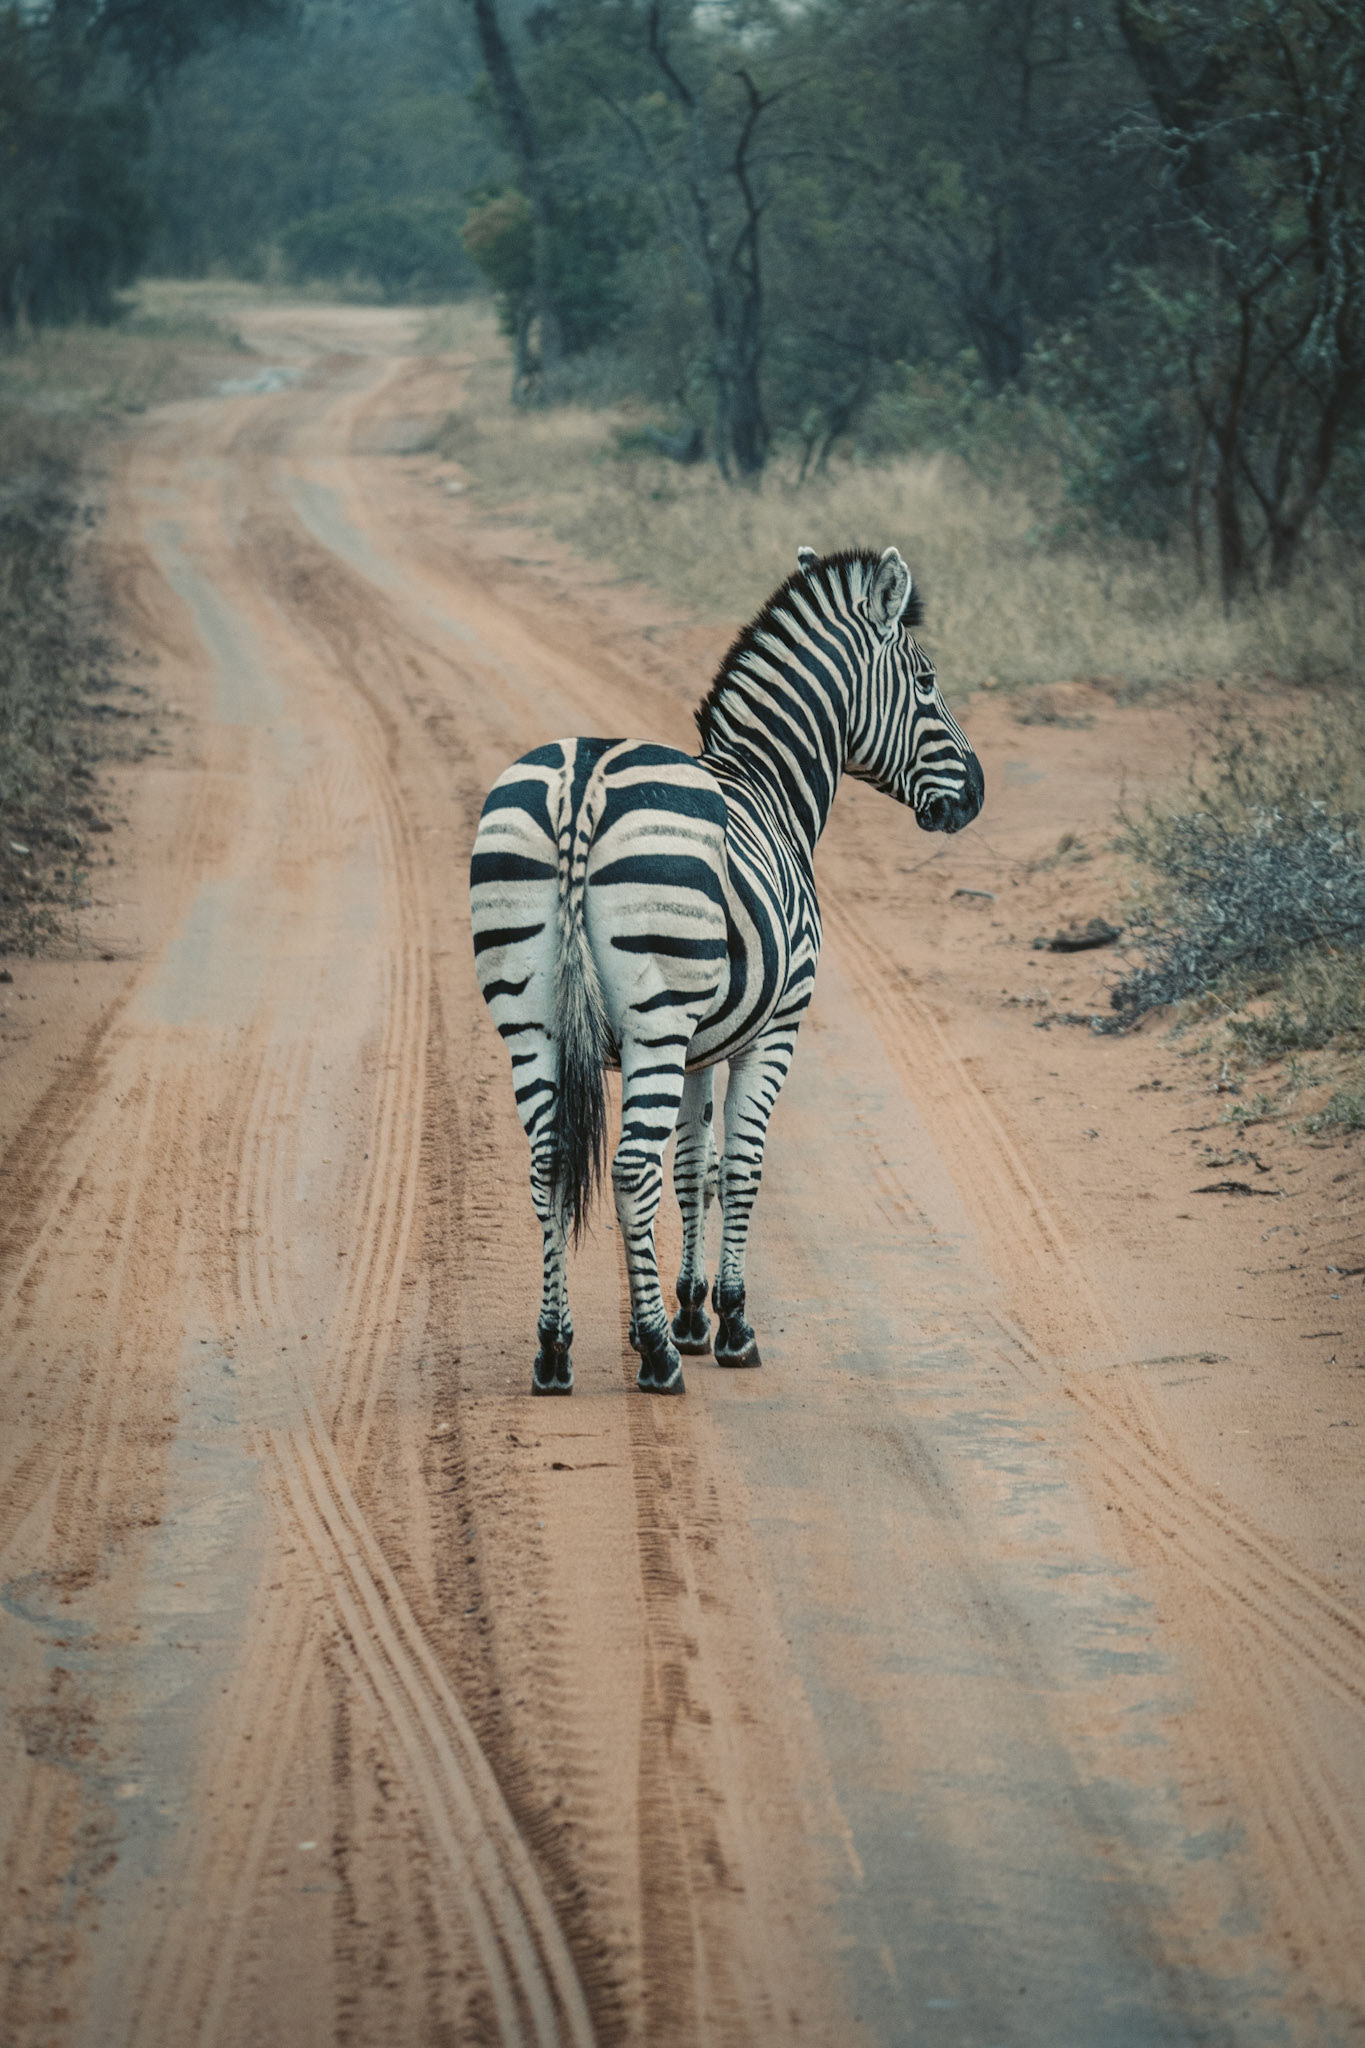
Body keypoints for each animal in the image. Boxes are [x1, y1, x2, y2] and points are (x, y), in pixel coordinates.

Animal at [469, 545, 984, 1395]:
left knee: (551, 1167)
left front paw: (685, 1311)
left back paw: (554, 1351)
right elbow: (739, 1166)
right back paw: (655, 1358)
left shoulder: (698, 1045)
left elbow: (693, 1168)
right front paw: (727, 1325)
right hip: (652, 1022)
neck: (771, 788)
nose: (974, 794)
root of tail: (582, 781)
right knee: (630, 1172)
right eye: (926, 681)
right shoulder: (771, 1029)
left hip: (529, 1019)